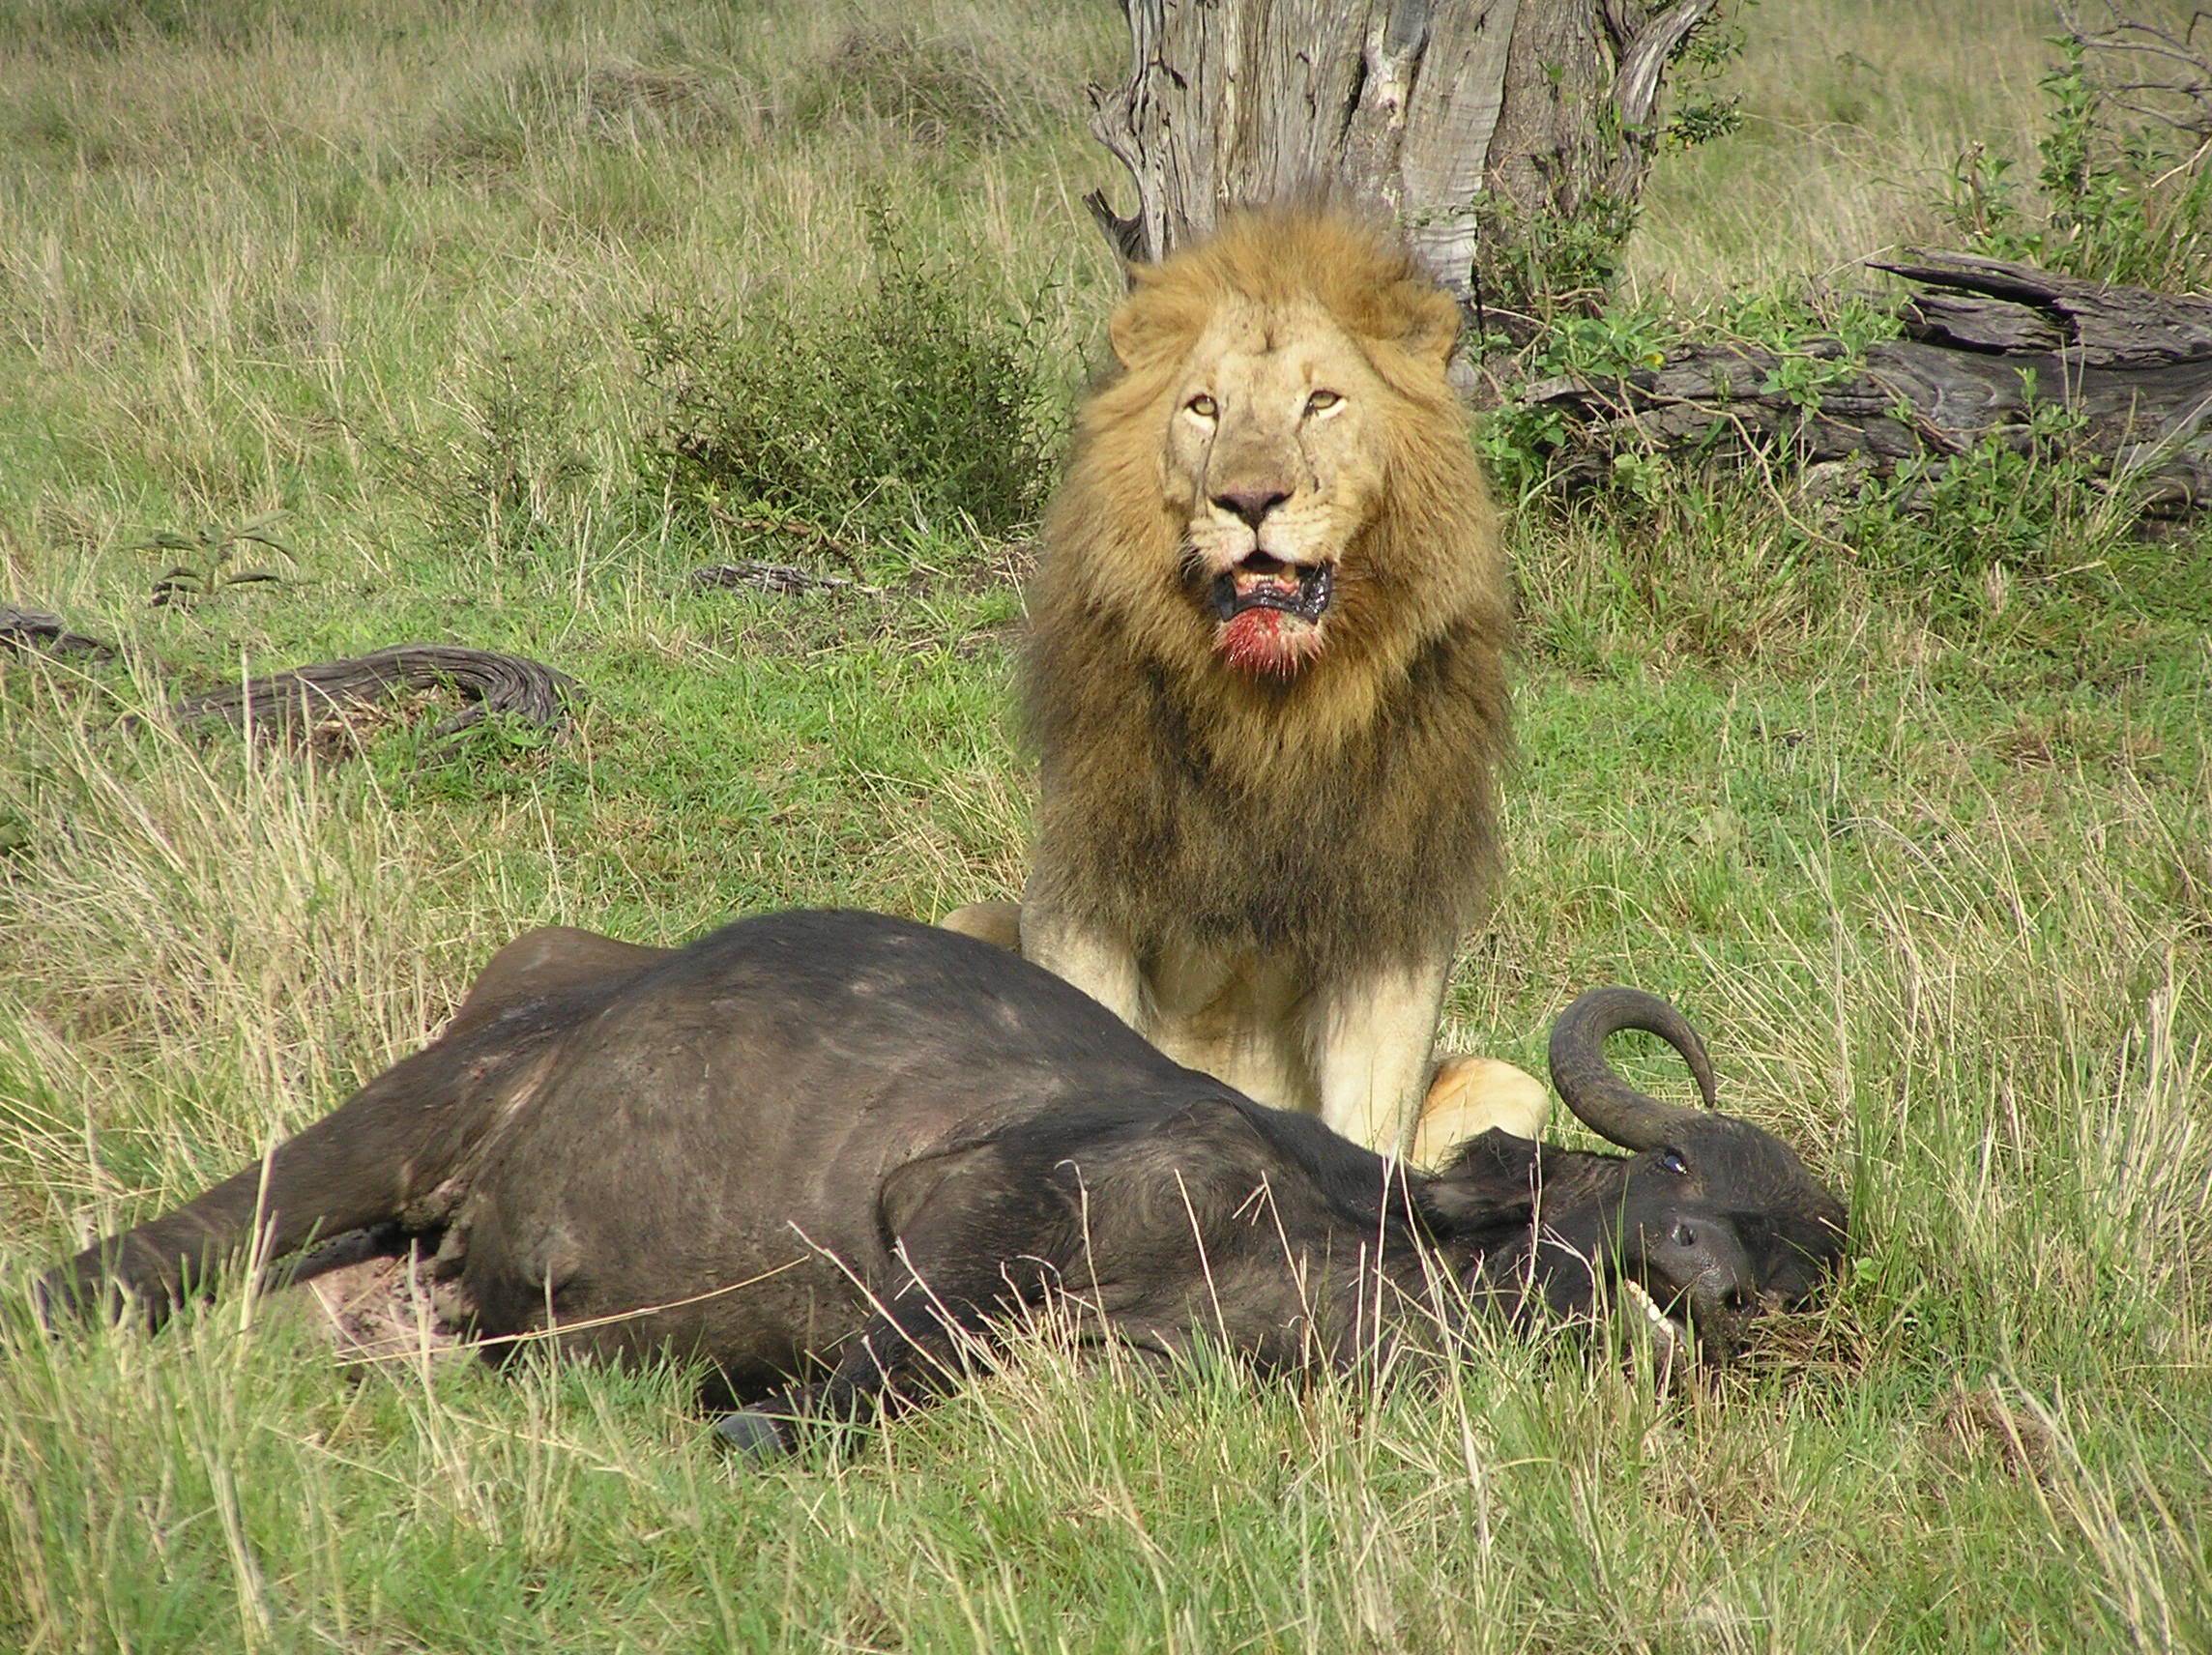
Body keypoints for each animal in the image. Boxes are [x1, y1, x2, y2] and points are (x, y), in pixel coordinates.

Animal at [43, 911, 1857, 1451]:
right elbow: (844, 1394)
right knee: (150, 1255)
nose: (1711, 1288)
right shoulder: (965, 1221)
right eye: (1674, 1168)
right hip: (402, 1115)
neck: (1321, 1248)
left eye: (1797, 1260)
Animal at [942, 206, 1530, 1159]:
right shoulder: (1082, 893)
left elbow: (1372, 1130)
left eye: (1322, 401)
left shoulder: (1392, 923)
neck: (1271, 719)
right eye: (1203, 408)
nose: (1250, 500)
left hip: (1513, 1084)